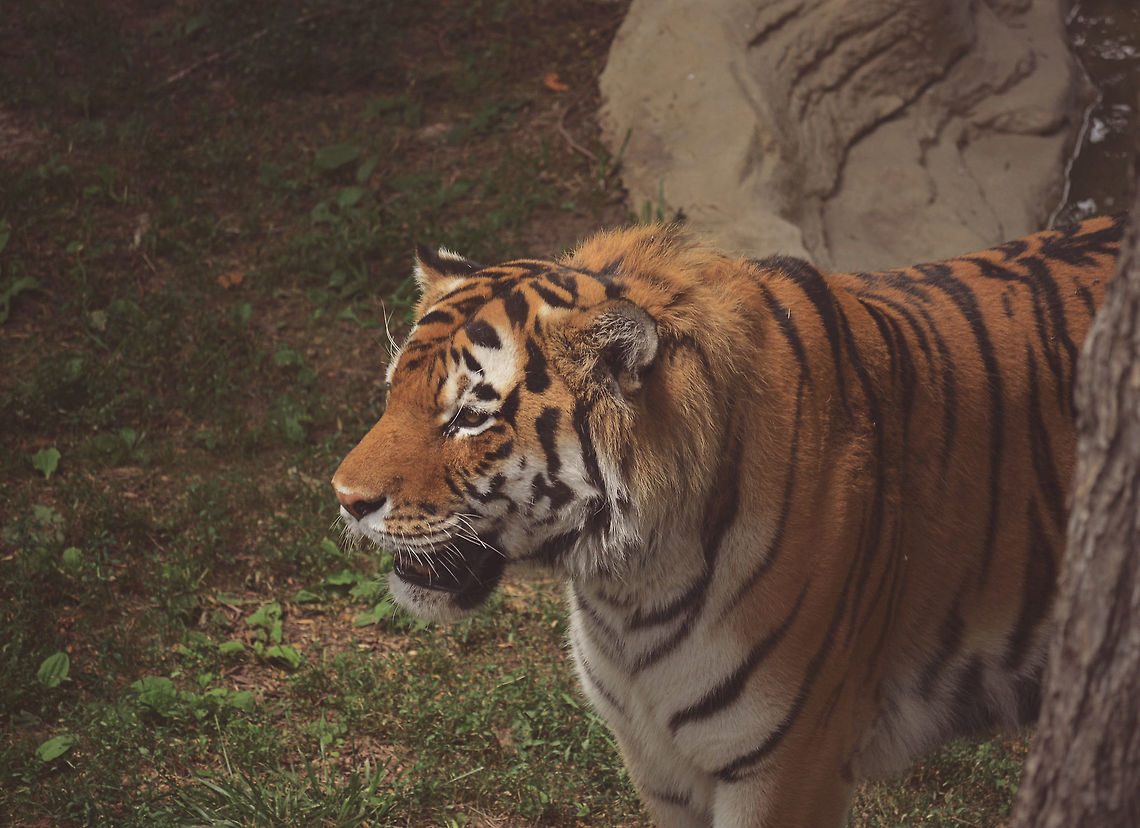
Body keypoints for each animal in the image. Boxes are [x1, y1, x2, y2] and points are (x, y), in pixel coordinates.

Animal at [331, 215, 1123, 827]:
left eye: (470, 416)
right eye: (393, 390)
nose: (344, 497)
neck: (625, 592)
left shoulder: (790, 766)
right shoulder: (657, 763)